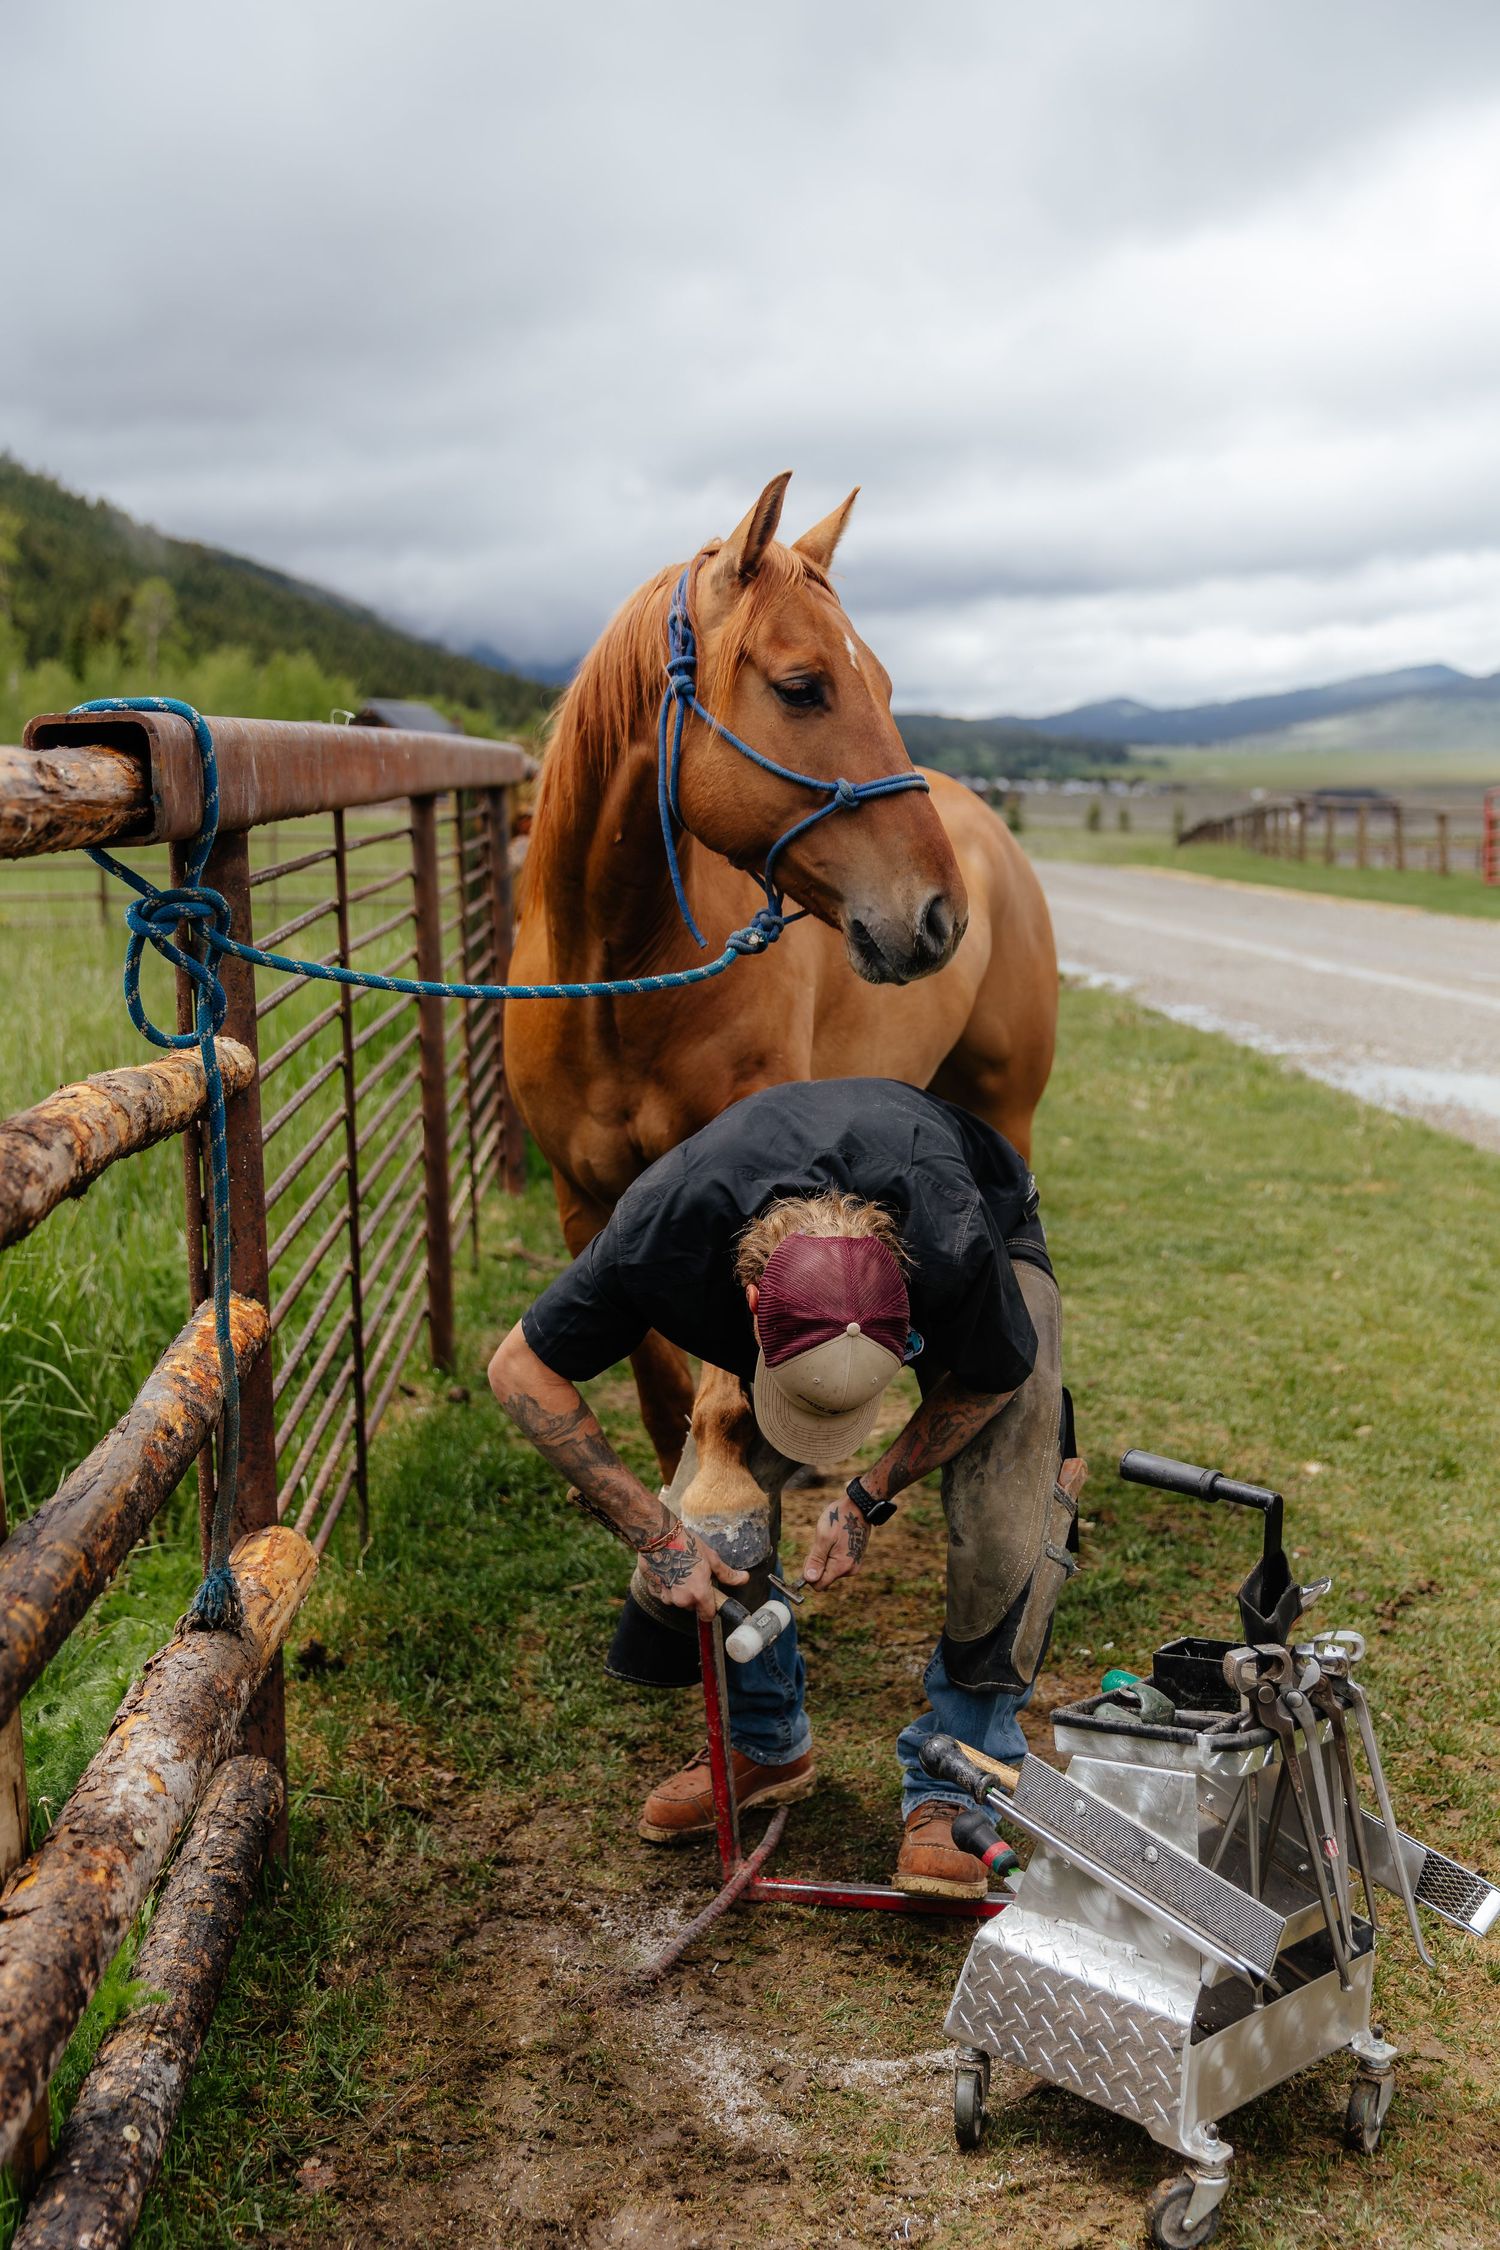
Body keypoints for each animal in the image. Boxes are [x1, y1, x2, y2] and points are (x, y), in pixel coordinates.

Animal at [505, 473, 1057, 1543]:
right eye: (804, 687)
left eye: (885, 684)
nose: (941, 915)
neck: (617, 984)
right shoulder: (589, 1210)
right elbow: (664, 1400)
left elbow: (722, 1399)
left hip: (1005, 1109)